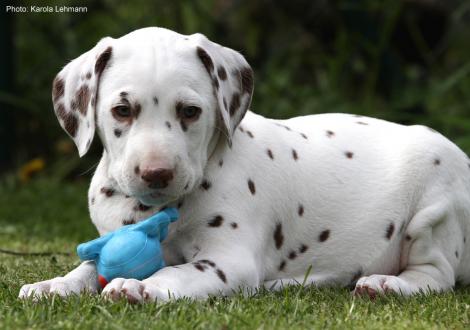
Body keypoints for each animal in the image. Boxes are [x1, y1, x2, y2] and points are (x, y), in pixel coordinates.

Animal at [19, 27, 470, 302]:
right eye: (122, 110)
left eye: (189, 111)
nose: (156, 174)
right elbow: (86, 269)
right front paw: (53, 284)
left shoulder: (226, 262)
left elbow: (174, 274)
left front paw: (137, 286)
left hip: (432, 210)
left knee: (436, 276)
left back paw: (384, 284)